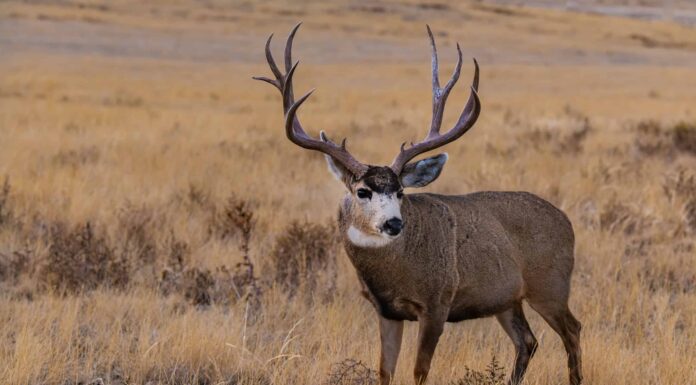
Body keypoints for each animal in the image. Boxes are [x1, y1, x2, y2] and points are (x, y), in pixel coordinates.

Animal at [254, 23, 580, 384]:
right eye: (362, 192)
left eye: (400, 192)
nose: (394, 223)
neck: (395, 272)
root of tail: (567, 222)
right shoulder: (386, 311)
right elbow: (385, 370)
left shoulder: (437, 303)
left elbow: (419, 371)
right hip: (507, 300)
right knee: (528, 341)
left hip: (550, 285)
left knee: (572, 331)